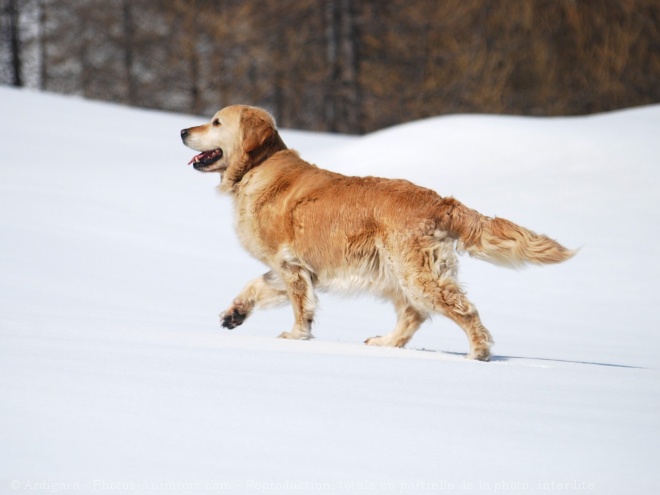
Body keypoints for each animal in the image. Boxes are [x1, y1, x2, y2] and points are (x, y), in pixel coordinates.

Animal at [180, 105, 572, 360]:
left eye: (216, 122)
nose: (183, 131)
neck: (256, 168)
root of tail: (439, 200)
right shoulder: (297, 267)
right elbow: (257, 285)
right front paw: (235, 313)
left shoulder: (290, 264)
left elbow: (299, 306)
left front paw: (296, 336)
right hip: (394, 272)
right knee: (413, 316)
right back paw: (384, 343)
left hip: (416, 274)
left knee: (463, 310)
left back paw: (478, 353)